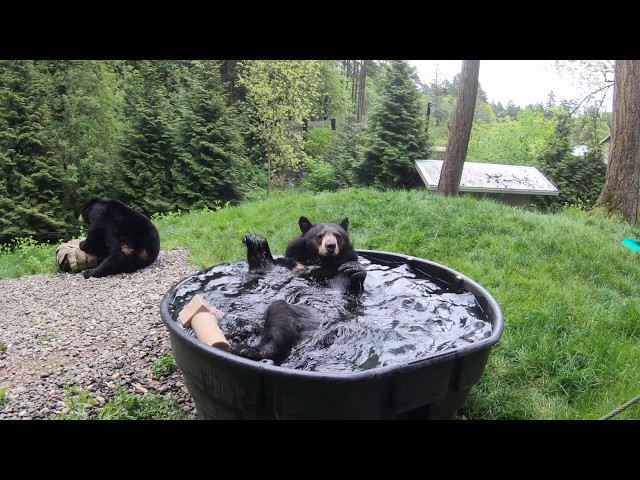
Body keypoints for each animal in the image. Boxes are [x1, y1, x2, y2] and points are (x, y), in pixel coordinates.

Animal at [232, 217, 368, 364]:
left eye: (338, 235)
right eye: (320, 236)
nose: (331, 246)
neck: (319, 263)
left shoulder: (338, 273)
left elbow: (352, 288)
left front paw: (355, 268)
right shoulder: (289, 264)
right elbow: (264, 269)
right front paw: (255, 240)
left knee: (279, 320)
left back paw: (250, 350)